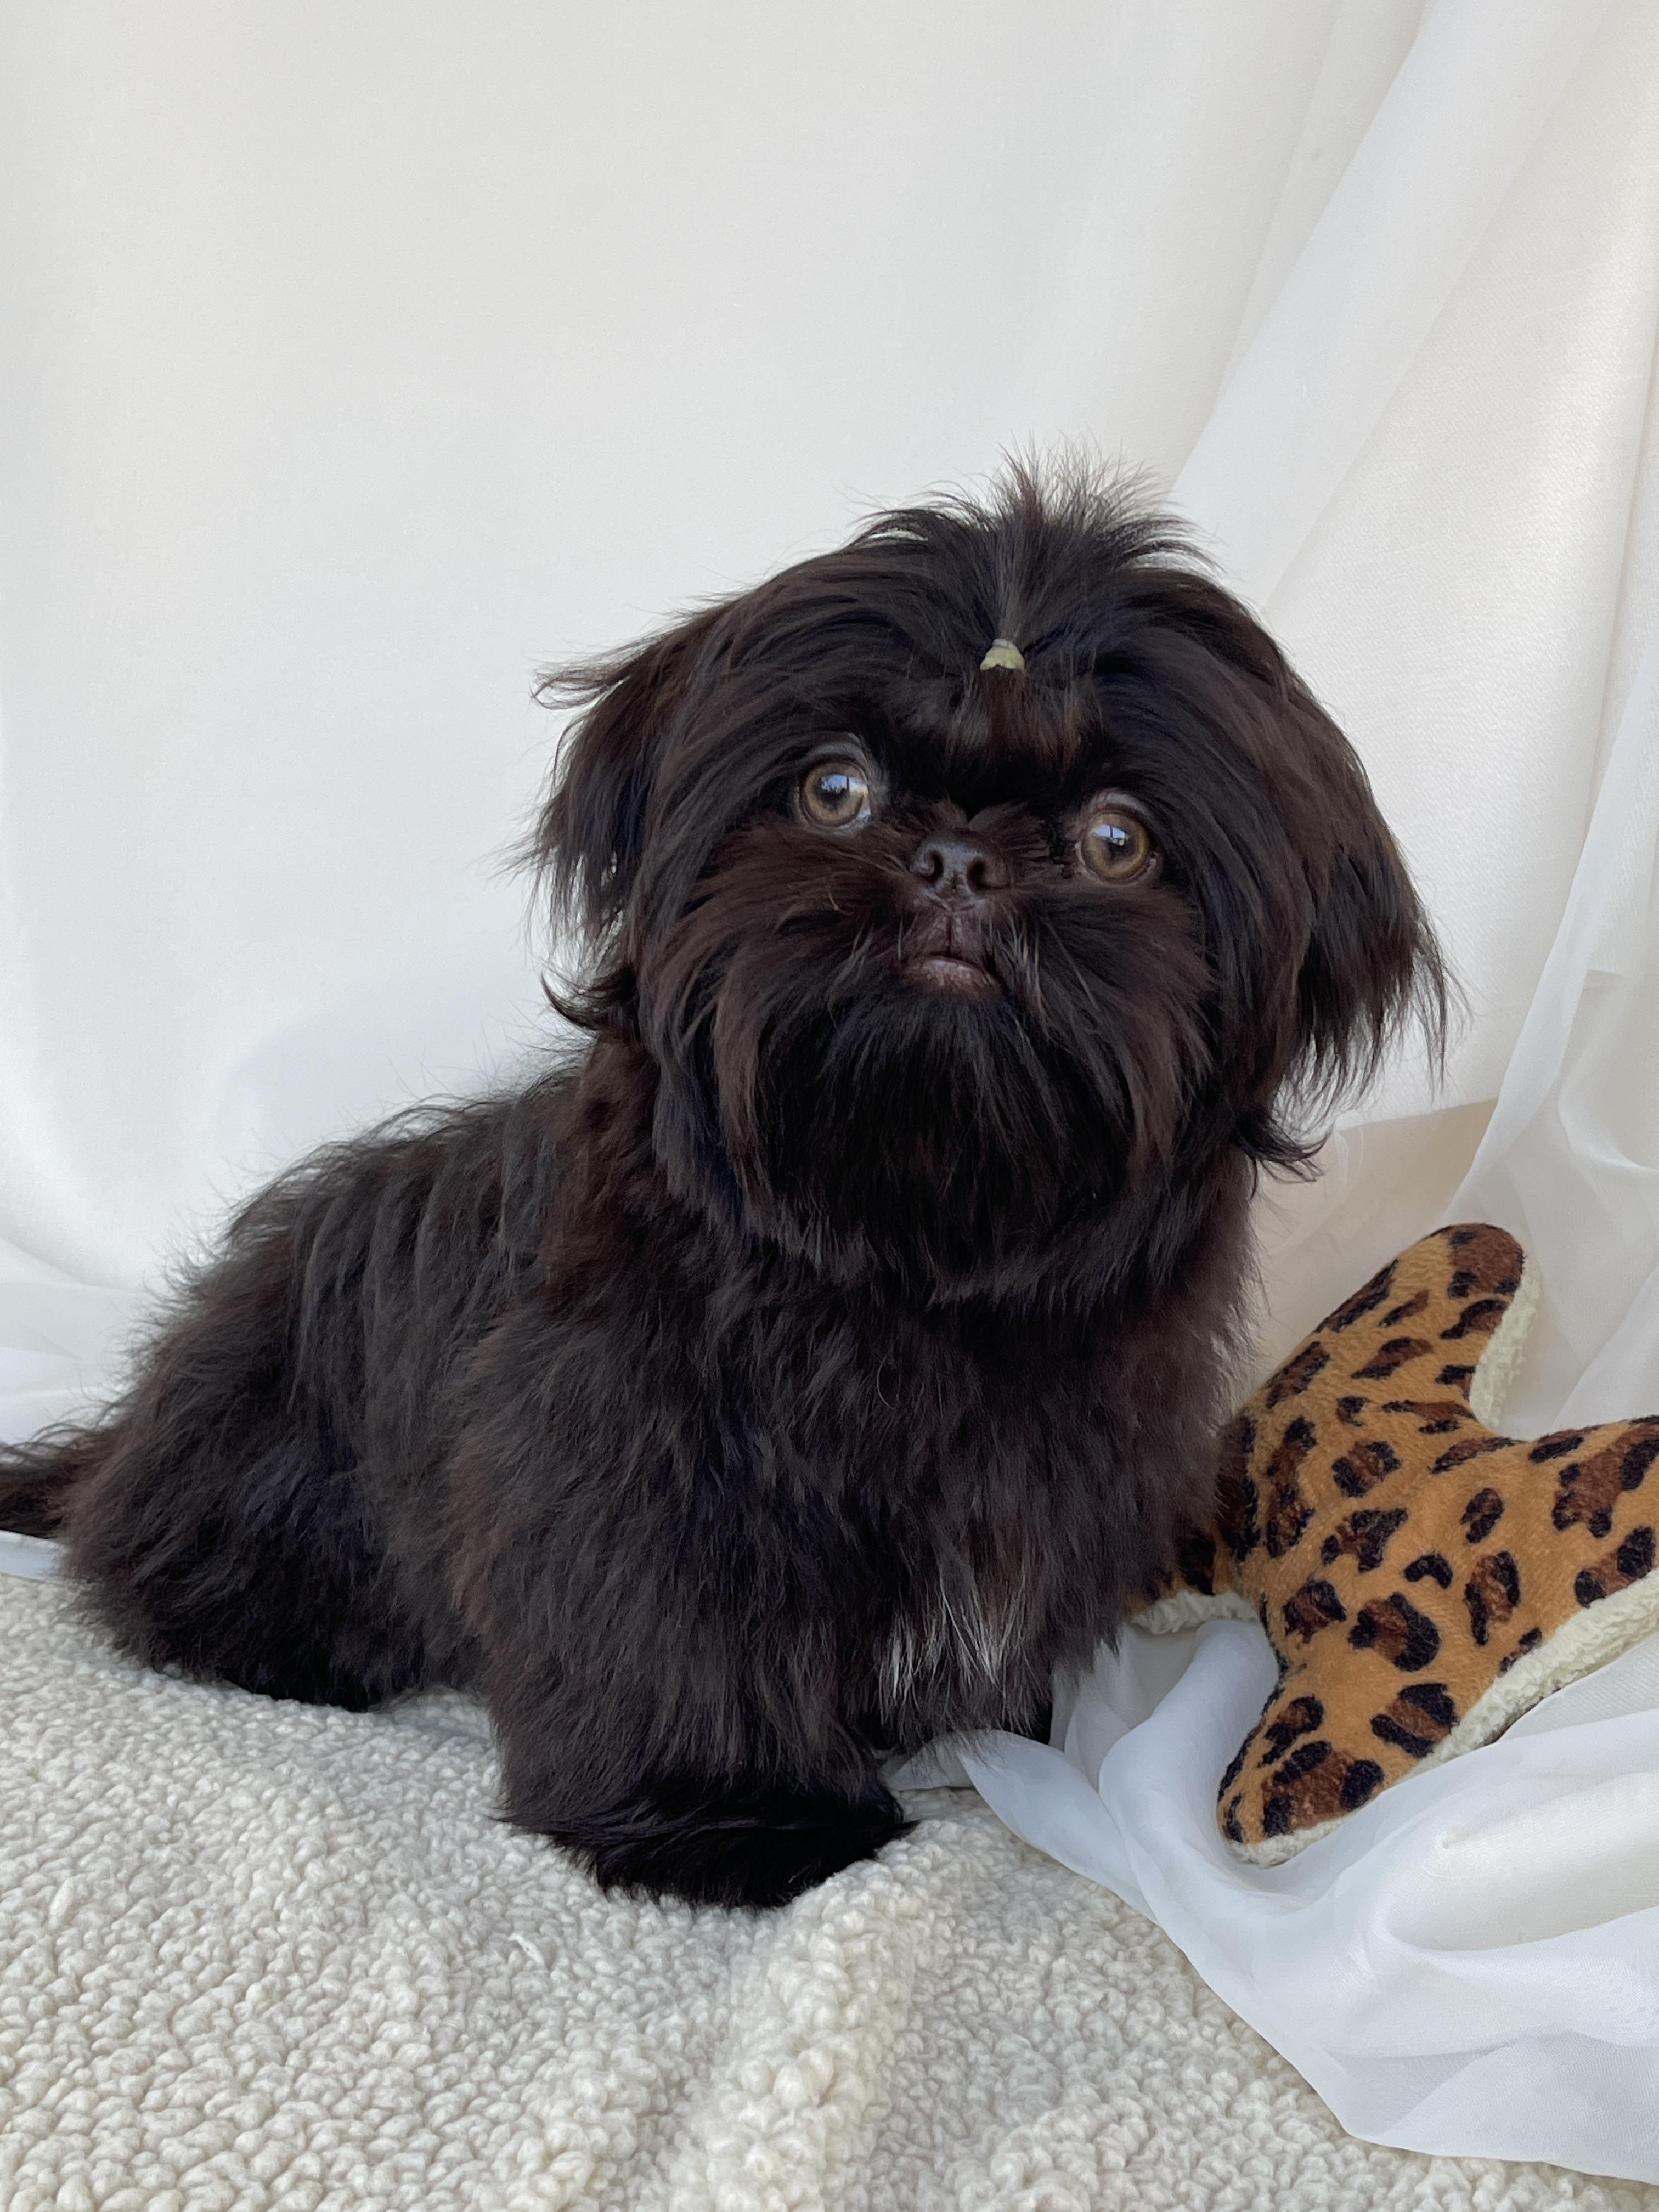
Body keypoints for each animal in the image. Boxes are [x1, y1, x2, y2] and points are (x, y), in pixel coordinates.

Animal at [0, 464, 1445, 1908]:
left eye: (1115, 840)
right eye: (835, 788)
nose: (960, 859)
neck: (910, 1237)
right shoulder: (642, 1461)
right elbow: (671, 1624)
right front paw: (731, 1815)